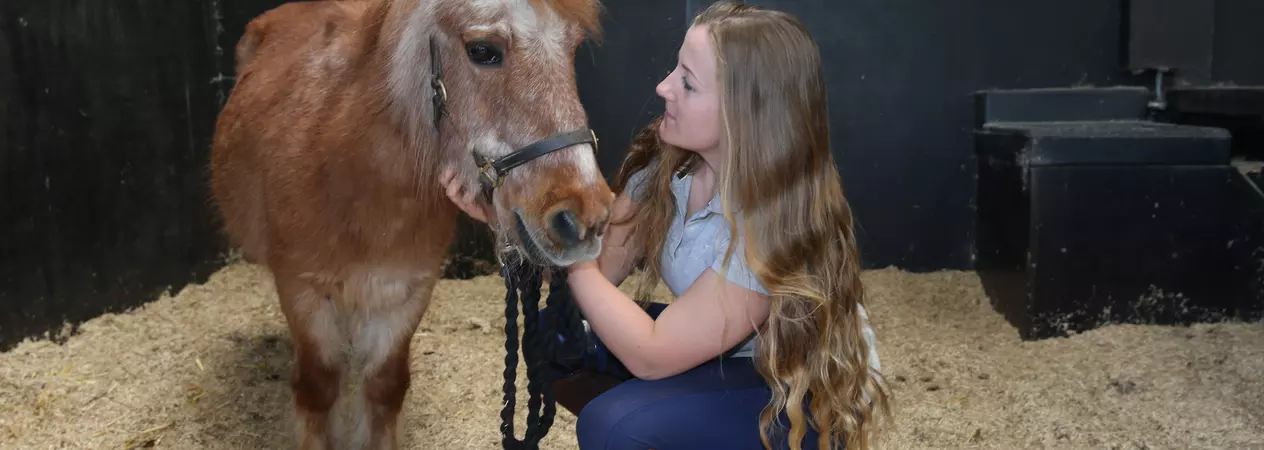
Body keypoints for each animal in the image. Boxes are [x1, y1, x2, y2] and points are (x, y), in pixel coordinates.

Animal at [208, 0, 614, 448]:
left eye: (572, 48)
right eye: (483, 51)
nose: (585, 217)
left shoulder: (406, 292)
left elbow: (385, 386)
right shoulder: (302, 292)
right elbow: (318, 388)